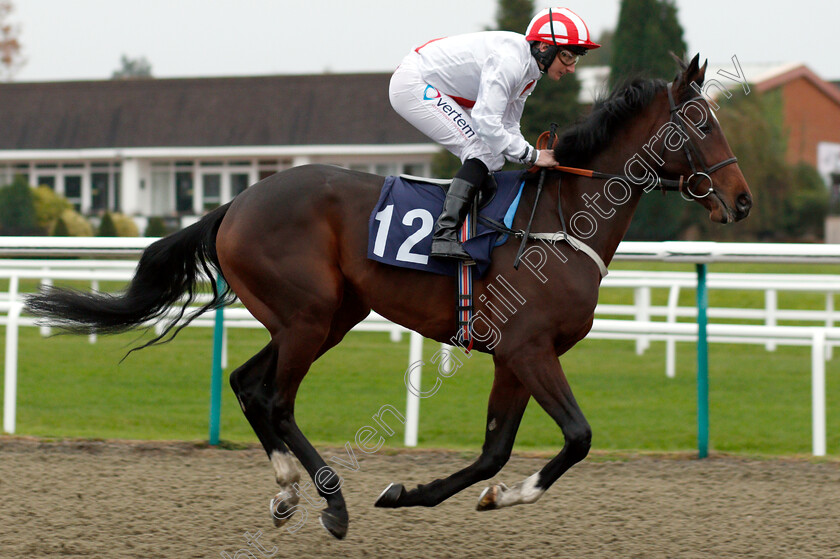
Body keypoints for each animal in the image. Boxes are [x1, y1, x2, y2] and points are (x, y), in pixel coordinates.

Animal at [26, 54, 752, 540]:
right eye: (698, 123)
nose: (742, 201)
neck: (561, 217)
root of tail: (236, 201)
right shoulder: (529, 348)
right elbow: (576, 437)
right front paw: (499, 495)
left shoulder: (513, 356)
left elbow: (494, 450)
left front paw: (432, 494)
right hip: (309, 315)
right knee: (275, 398)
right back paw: (331, 502)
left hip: (324, 317)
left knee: (247, 383)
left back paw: (288, 492)